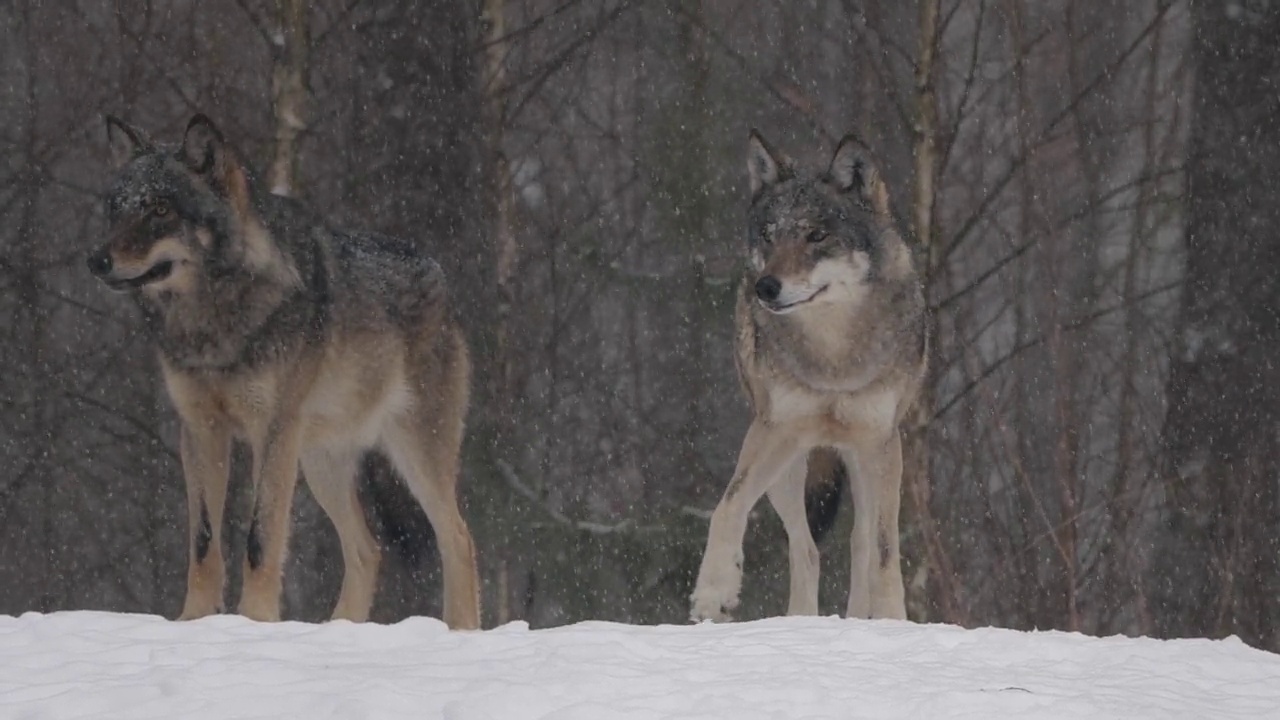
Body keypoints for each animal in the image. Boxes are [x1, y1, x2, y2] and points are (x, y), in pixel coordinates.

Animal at [88, 114, 481, 625]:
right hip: (320, 462)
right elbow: (203, 541)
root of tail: (439, 273)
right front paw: (193, 621)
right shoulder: (200, 431)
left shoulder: (271, 431)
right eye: (116, 209)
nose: (96, 260)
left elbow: (260, 537)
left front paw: (255, 620)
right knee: (368, 549)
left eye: (159, 209)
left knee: (458, 538)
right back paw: (336, 629)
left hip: (412, 452)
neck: (212, 321)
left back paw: (462, 631)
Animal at [691, 127, 931, 617]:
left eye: (816, 235)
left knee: (861, 542)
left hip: (864, 459)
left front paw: (891, 619)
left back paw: (859, 616)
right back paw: (799, 618)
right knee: (805, 549)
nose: (765, 287)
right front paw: (714, 590)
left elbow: (884, 551)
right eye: (768, 235)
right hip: (787, 465)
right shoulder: (775, 430)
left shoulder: (881, 442)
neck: (833, 354)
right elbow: (728, 504)